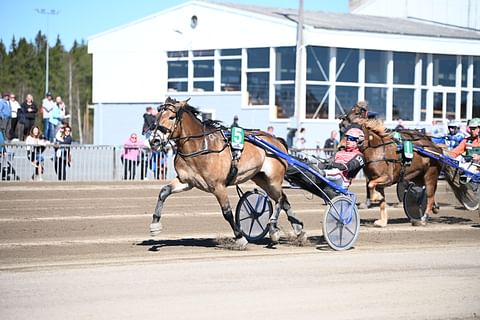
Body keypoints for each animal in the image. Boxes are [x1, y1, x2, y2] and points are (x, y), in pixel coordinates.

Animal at [148, 97, 306, 250]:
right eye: (157, 117)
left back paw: (273, 229)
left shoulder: (218, 186)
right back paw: (298, 230)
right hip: (261, 178)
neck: (201, 147)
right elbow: (163, 192)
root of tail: (277, 140)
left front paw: (240, 238)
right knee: (284, 200)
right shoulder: (186, 181)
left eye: (171, 117)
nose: (154, 140)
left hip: (273, 179)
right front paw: (155, 225)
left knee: (280, 199)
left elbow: (227, 212)